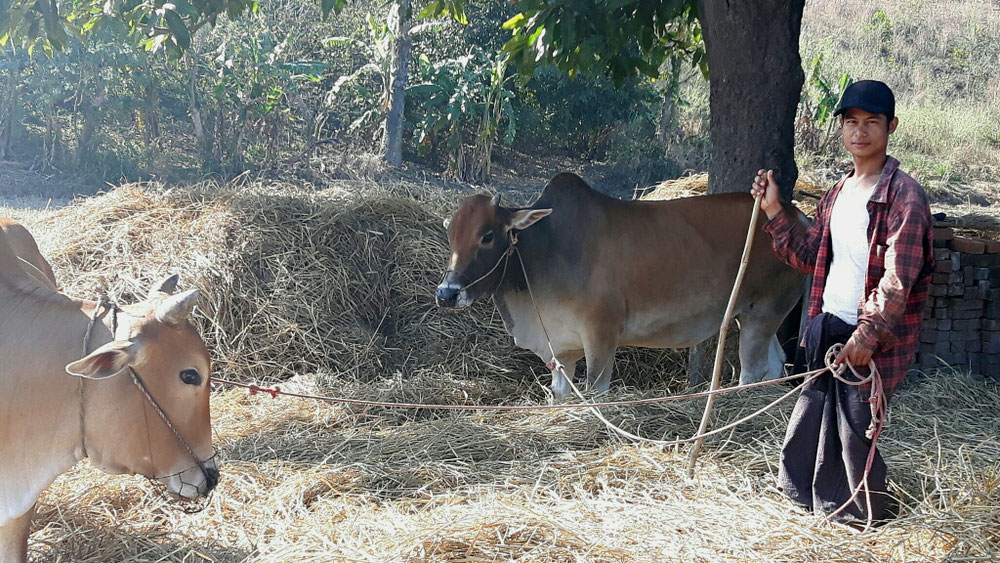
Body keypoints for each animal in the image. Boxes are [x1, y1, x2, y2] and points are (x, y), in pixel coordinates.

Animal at [436, 174, 804, 398]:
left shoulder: (601, 333)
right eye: (450, 234)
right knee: (775, 364)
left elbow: (596, 392)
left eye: (487, 235)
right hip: (756, 316)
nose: (447, 293)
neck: (547, 247)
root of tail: (797, 216)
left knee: (753, 371)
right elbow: (560, 393)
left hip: (763, 312)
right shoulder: (561, 347)